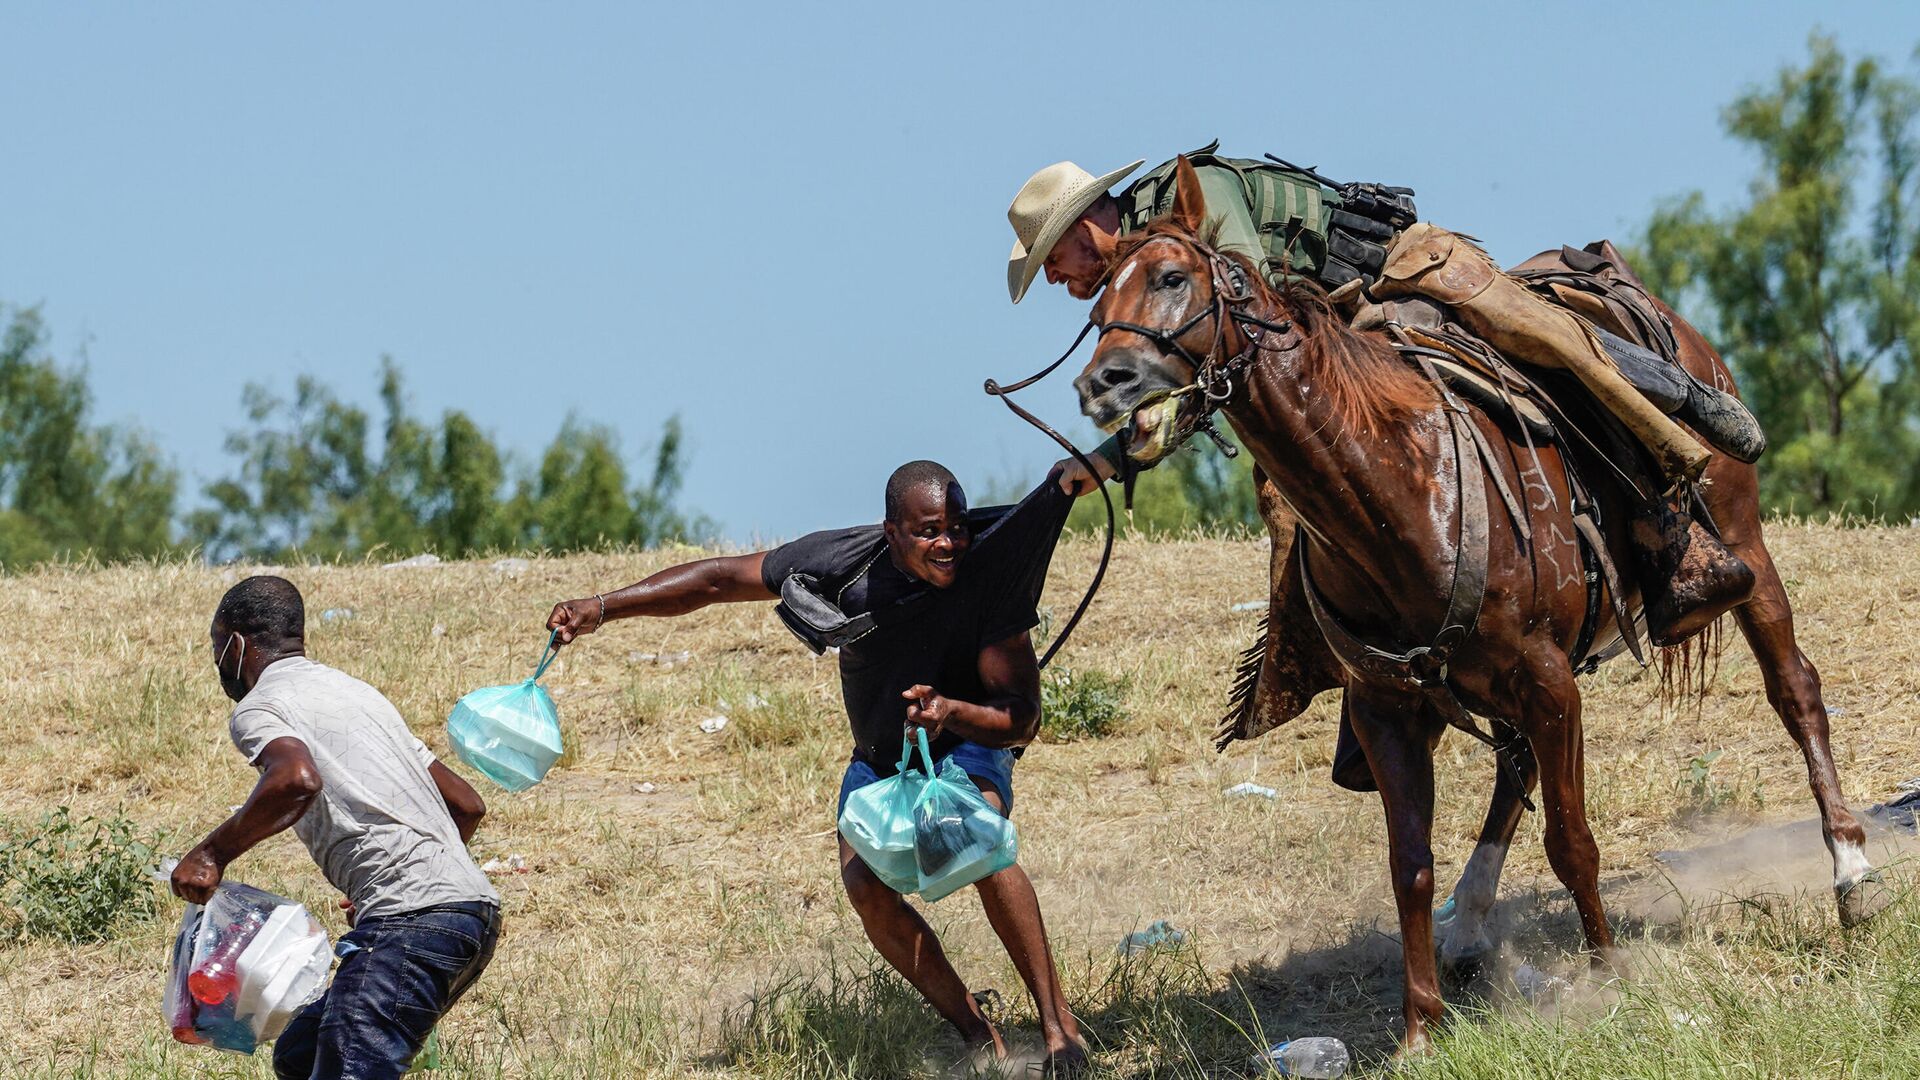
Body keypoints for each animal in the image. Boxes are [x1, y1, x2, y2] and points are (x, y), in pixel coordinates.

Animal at [1082, 159, 1889, 1053]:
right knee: (1515, 768)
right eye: (1097, 303)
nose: (1101, 383)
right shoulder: (1391, 708)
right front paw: (1419, 1029)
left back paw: (1852, 871)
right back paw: (1468, 924)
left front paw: (1610, 976)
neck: (1396, 484)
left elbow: (1571, 841)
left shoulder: (1547, 680)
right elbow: (1409, 865)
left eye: (1172, 277)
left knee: (1795, 689)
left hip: (1743, 544)